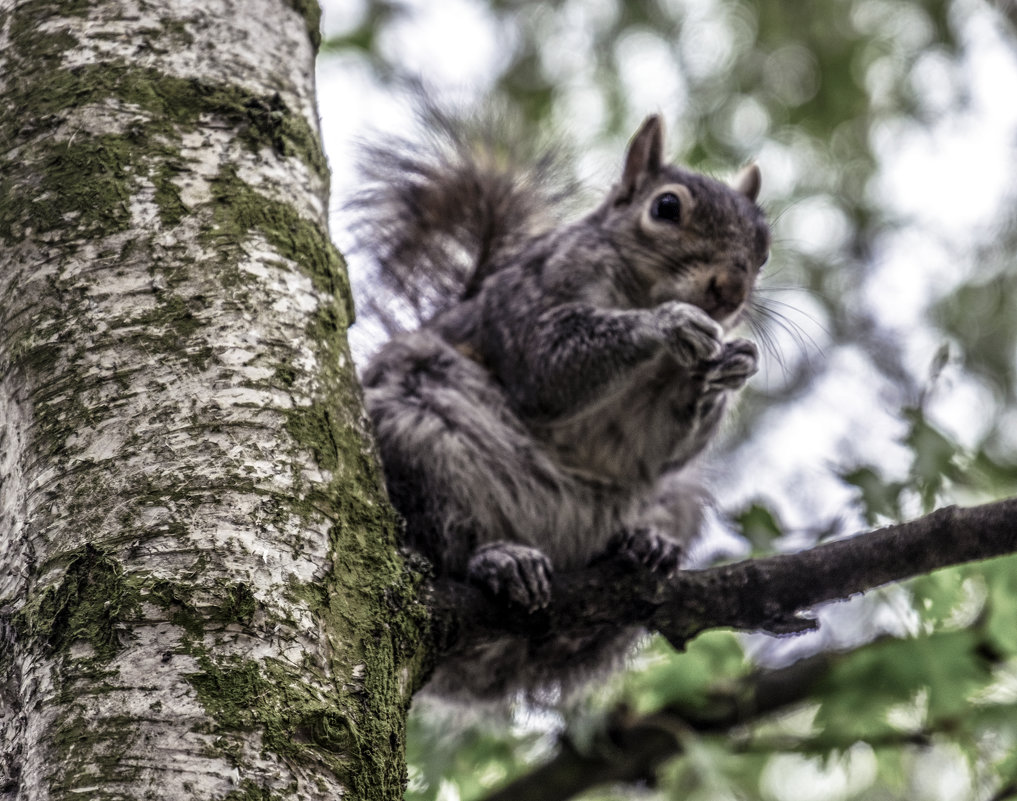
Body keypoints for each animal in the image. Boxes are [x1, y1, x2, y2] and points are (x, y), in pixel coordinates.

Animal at [353, 107, 764, 699]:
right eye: (666, 207)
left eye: (764, 243)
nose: (730, 289)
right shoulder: (531, 301)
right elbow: (547, 369)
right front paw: (667, 323)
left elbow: (660, 449)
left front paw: (731, 367)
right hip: (412, 434)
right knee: (444, 543)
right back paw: (499, 560)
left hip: (675, 503)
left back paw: (643, 547)